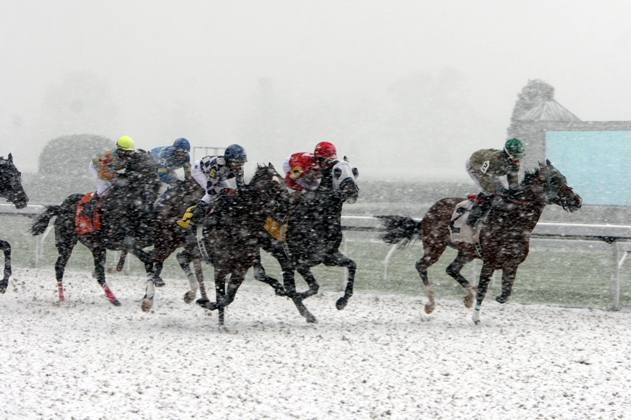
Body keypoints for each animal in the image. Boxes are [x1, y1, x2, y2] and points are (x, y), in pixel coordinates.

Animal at [30, 151, 162, 306]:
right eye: (145, 167)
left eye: (156, 166)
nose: (158, 184)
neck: (128, 202)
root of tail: (60, 207)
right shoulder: (122, 242)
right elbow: (147, 258)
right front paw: (151, 290)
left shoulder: (144, 236)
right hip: (67, 242)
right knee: (59, 267)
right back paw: (62, 298)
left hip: (96, 247)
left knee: (99, 273)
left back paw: (114, 299)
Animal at [195, 164, 288, 328]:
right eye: (272, 183)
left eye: (283, 179)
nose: (288, 201)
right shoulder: (220, 268)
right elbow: (221, 297)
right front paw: (218, 321)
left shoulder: (241, 268)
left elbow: (228, 297)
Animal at [253, 159, 358, 324]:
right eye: (337, 171)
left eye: (354, 171)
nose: (352, 191)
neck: (317, 217)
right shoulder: (300, 262)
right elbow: (313, 287)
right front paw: (297, 298)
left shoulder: (328, 256)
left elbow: (352, 265)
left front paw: (342, 302)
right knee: (260, 273)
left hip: (282, 256)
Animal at [380, 161, 584, 324]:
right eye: (553, 180)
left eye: (563, 178)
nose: (577, 200)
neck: (513, 221)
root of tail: (427, 213)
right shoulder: (490, 262)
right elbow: (484, 290)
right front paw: (476, 317)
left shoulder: (512, 264)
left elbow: (505, 295)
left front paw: (486, 298)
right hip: (434, 246)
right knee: (421, 265)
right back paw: (431, 303)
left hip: (466, 252)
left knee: (451, 269)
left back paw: (467, 297)